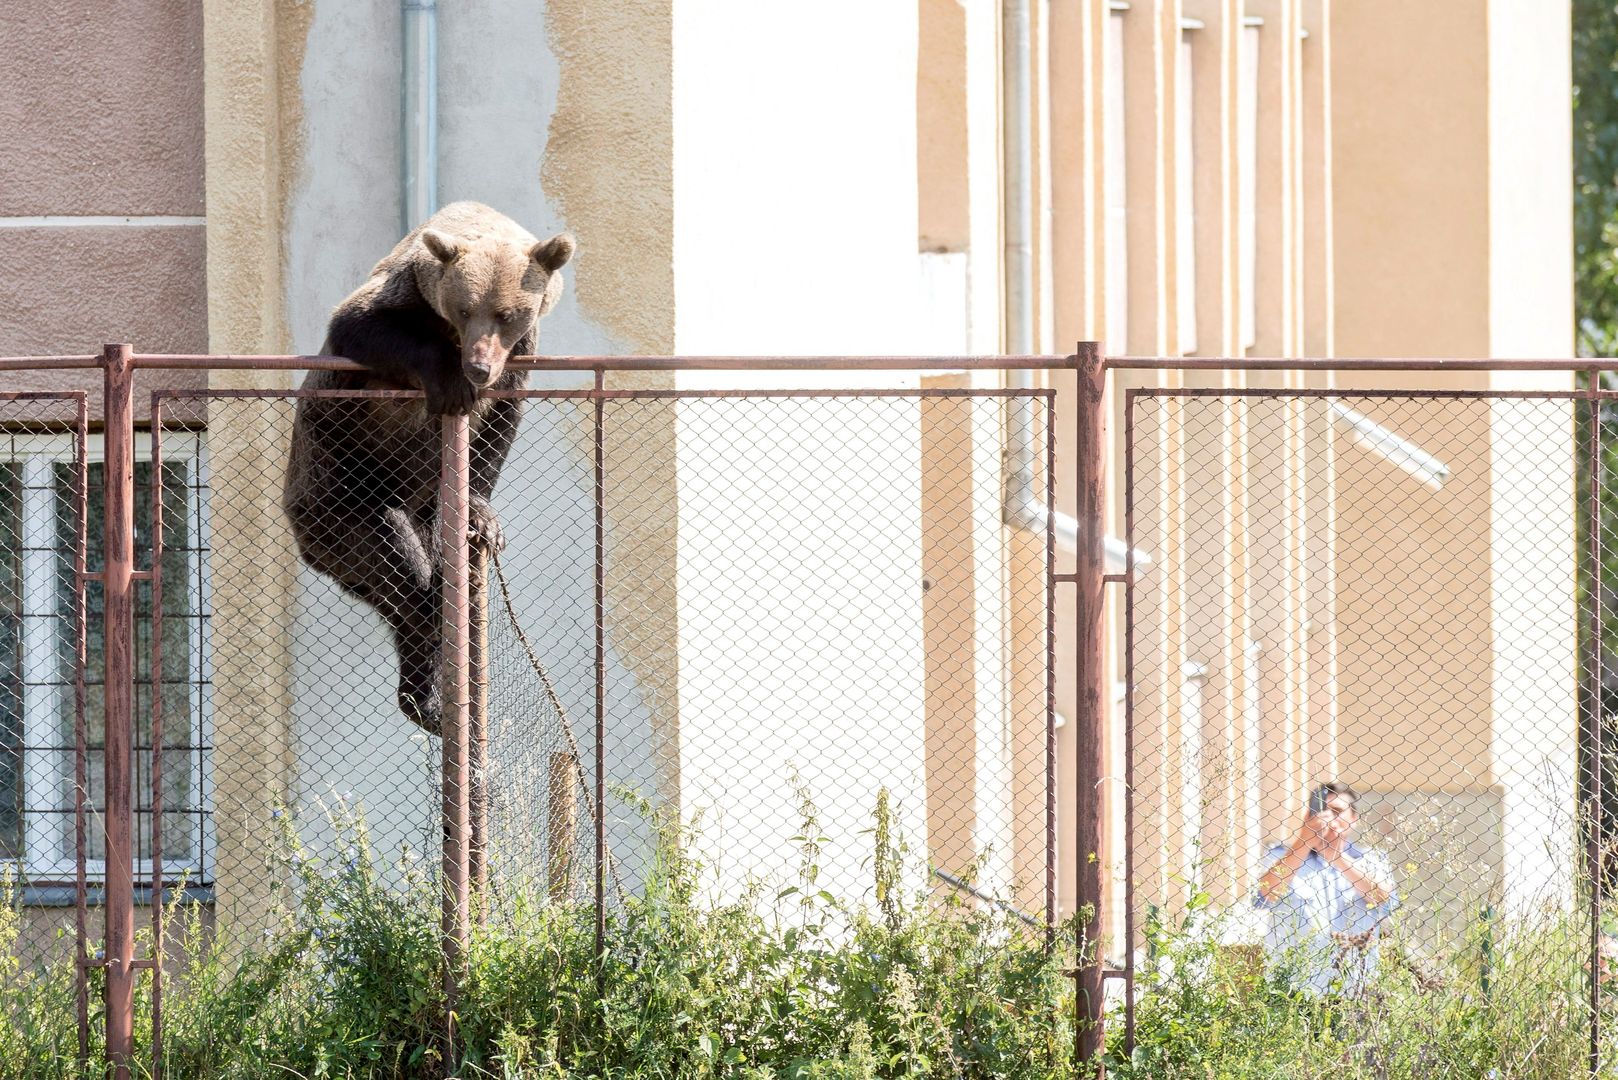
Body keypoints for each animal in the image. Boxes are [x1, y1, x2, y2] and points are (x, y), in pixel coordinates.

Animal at [284, 199, 576, 731]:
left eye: (506, 313)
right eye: (464, 308)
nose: (478, 366)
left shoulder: (521, 355)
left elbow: (498, 426)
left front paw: (484, 513)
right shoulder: (397, 301)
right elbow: (359, 324)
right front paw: (452, 382)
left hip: (419, 519)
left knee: (429, 596)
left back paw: (431, 699)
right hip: (336, 488)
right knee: (404, 572)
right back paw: (427, 696)